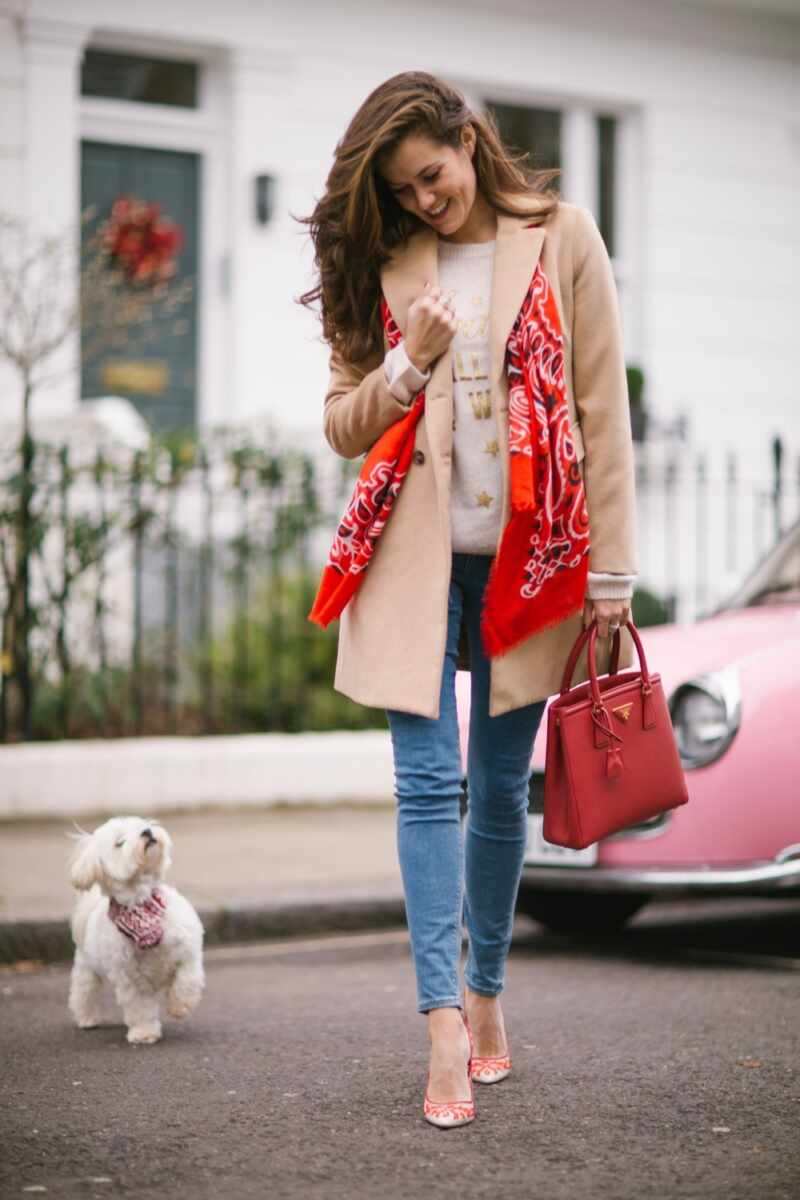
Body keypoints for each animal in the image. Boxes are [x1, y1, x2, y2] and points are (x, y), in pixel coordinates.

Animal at [68, 816, 205, 1041]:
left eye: (140, 825)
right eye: (119, 842)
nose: (147, 832)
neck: (141, 906)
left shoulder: (188, 951)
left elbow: (187, 979)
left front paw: (180, 1005)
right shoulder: (129, 978)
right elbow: (139, 1007)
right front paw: (144, 1033)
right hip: (86, 967)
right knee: (83, 992)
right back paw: (87, 1018)